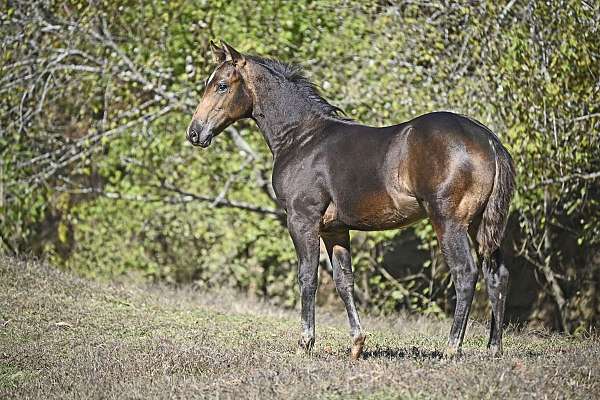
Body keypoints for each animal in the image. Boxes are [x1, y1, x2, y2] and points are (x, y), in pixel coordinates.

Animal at [188, 40, 516, 360]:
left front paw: (305, 343)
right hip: (479, 225)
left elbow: (307, 277)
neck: (302, 138)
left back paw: (451, 348)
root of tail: (489, 139)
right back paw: (494, 349)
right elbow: (344, 281)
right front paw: (357, 344)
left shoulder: (302, 219)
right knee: (497, 275)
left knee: (465, 273)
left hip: (448, 221)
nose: (195, 133)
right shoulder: (334, 229)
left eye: (221, 85)